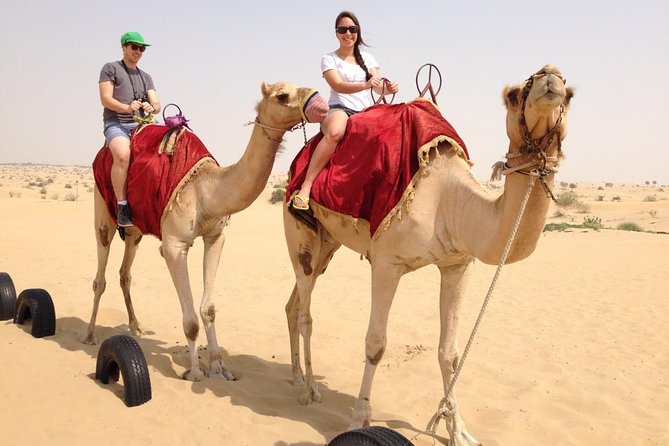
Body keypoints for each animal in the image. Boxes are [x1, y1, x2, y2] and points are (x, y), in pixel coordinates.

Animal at [84, 82, 311, 382]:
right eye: (282, 96)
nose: (316, 98)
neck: (207, 189)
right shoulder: (173, 245)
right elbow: (190, 321)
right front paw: (194, 373)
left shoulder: (215, 236)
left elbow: (209, 309)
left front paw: (218, 367)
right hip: (103, 208)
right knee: (100, 274)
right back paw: (89, 334)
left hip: (134, 230)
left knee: (125, 273)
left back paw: (137, 327)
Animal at [283, 65, 573, 445]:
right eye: (513, 95)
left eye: (570, 93)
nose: (549, 76)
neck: (448, 201)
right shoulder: (386, 262)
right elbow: (375, 344)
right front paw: (359, 419)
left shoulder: (457, 264)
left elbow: (450, 353)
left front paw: (458, 430)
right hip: (298, 231)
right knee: (305, 310)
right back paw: (308, 391)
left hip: (328, 243)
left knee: (294, 304)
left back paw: (296, 378)